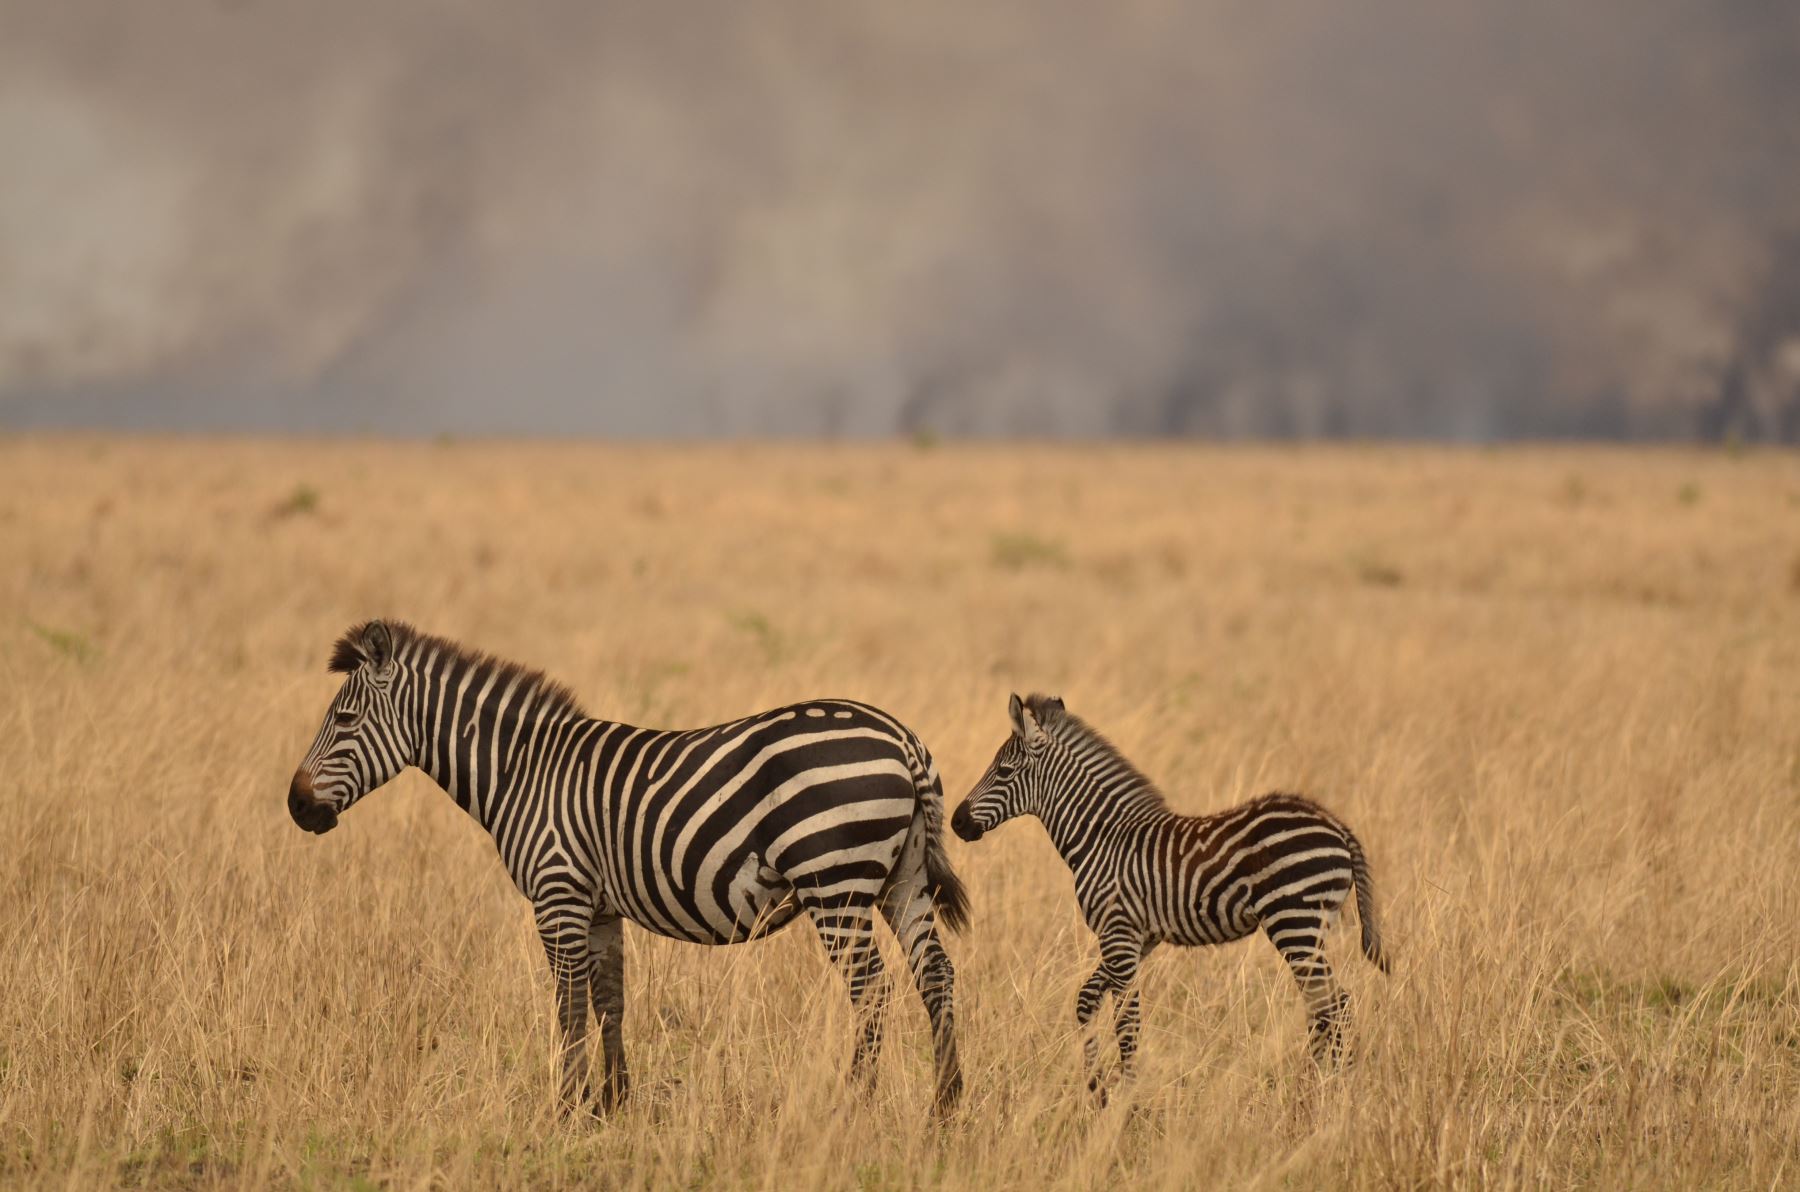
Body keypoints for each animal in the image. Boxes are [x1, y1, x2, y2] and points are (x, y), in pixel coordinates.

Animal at [286, 620, 968, 1113]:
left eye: (344, 720)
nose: (296, 806)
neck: (522, 771)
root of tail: (902, 738)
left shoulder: (557, 894)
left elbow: (568, 1005)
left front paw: (565, 1107)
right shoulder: (598, 907)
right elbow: (610, 1000)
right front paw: (612, 1103)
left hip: (835, 879)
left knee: (871, 987)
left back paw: (856, 1103)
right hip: (902, 880)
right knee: (934, 973)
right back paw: (946, 1106)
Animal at [949, 693, 1388, 1093]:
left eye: (1004, 771)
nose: (956, 822)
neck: (1101, 838)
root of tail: (1334, 823)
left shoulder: (1118, 933)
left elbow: (1127, 1022)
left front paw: (1126, 1101)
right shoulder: (1137, 938)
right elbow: (1086, 1001)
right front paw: (1097, 1087)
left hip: (1294, 921)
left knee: (1336, 1004)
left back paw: (1331, 1088)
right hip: (1309, 927)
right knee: (1323, 1006)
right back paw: (1315, 1085)